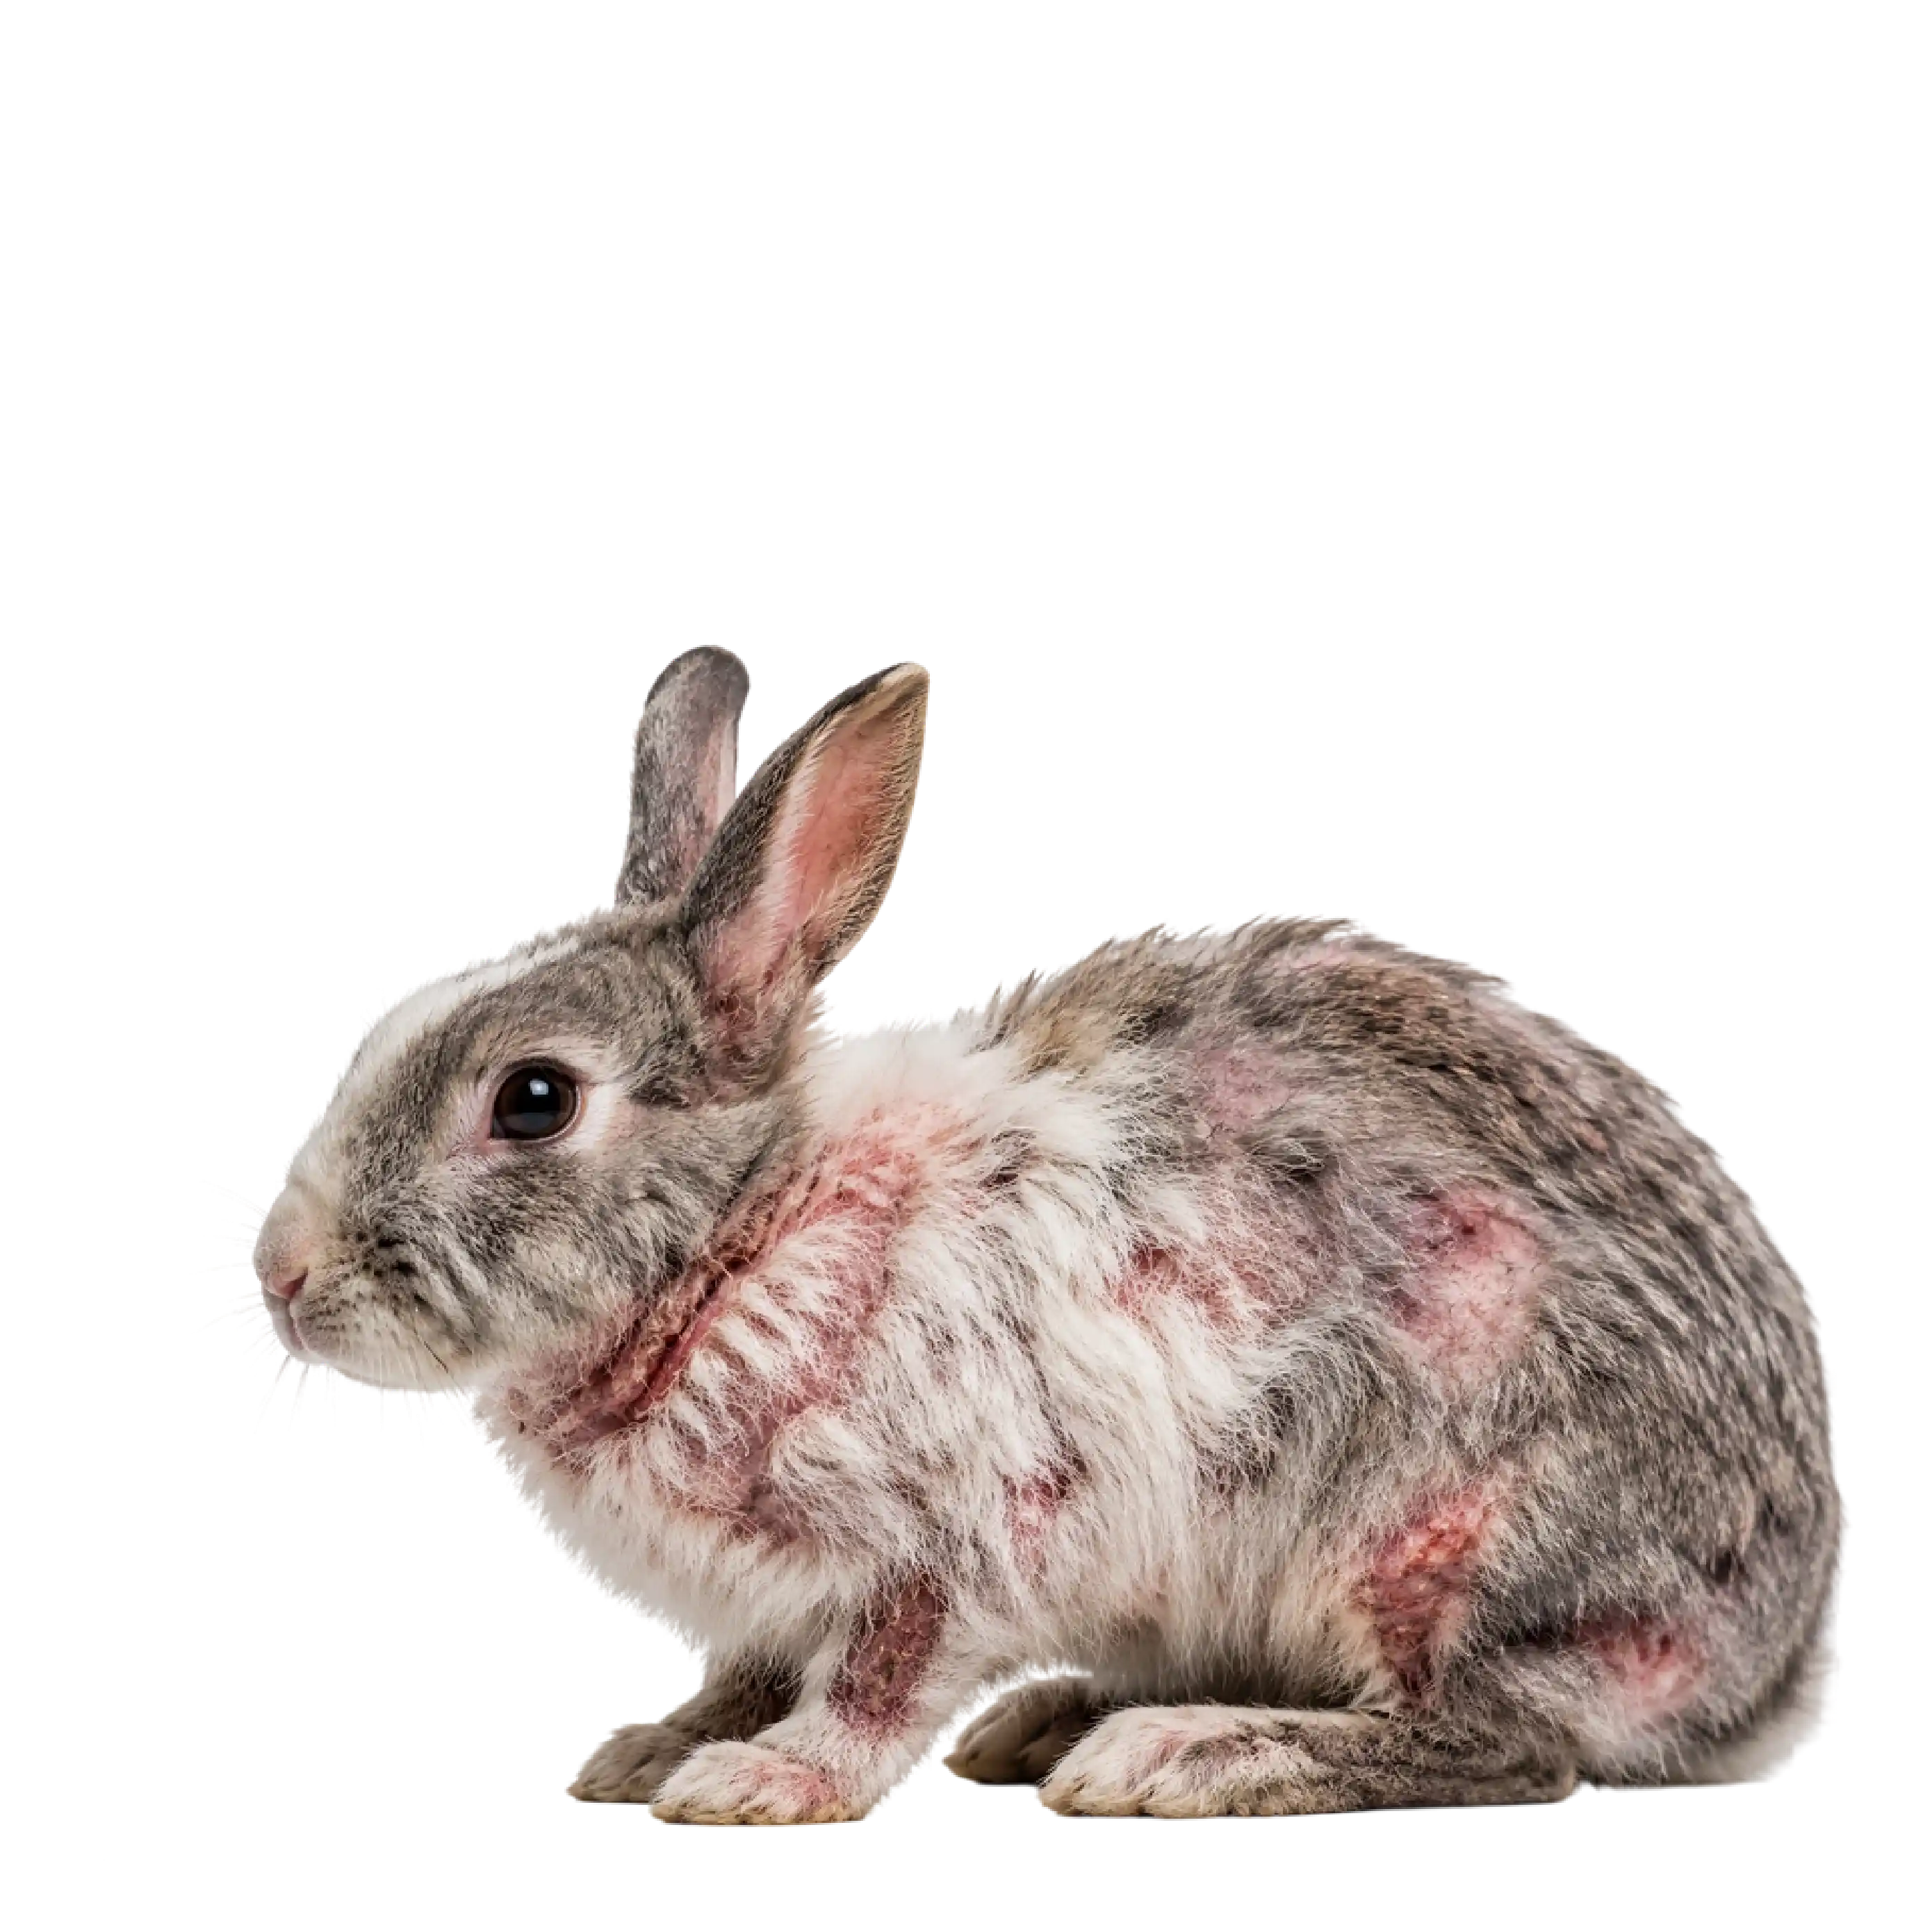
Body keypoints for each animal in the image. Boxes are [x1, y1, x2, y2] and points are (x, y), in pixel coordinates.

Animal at [247, 644, 1844, 1824]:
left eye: (533, 1101)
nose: (283, 1274)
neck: (746, 1242)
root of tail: (1771, 1660)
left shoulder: (958, 1535)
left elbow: (879, 1685)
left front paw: (764, 1784)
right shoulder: (772, 1607)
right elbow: (750, 1672)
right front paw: (648, 1750)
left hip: (1450, 1541)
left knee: (1505, 1740)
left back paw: (1181, 1754)